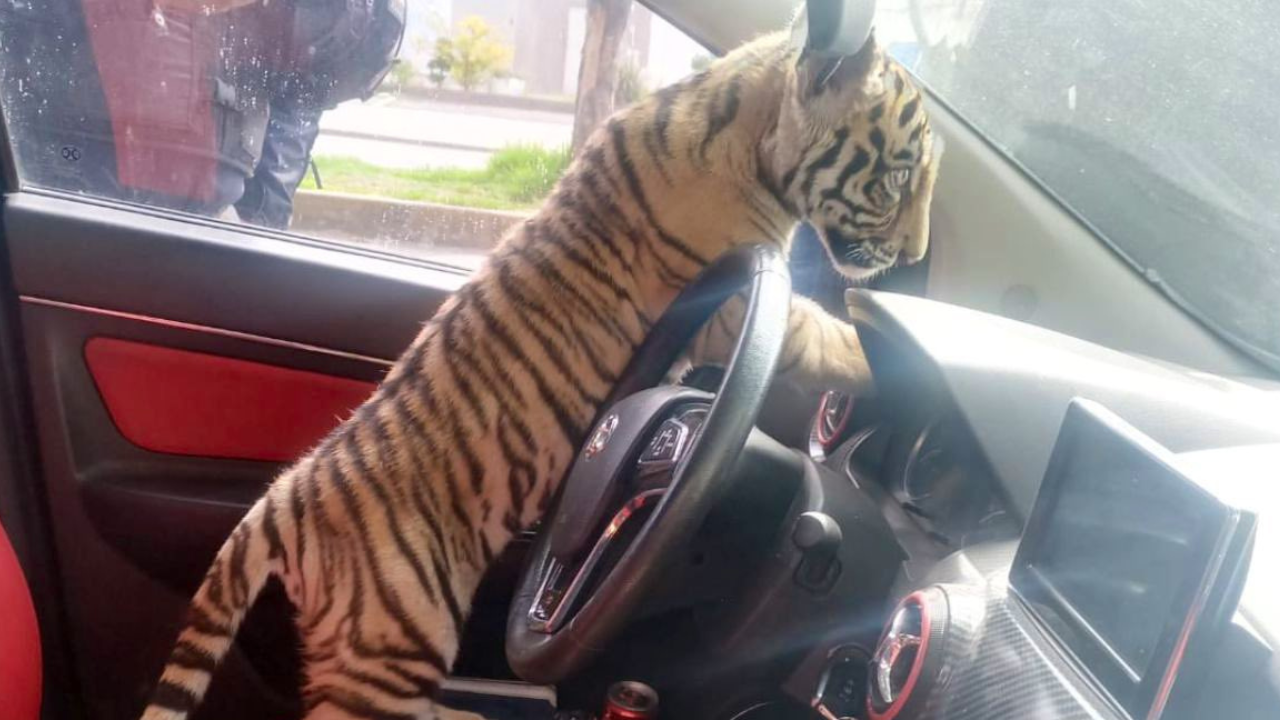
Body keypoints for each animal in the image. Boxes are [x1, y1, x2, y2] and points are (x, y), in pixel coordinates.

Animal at [141, 18, 941, 720]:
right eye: (899, 177)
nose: (914, 255)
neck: (750, 121)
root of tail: (284, 500)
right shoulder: (736, 297)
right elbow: (823, 333)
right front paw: (910, 364)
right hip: (395, 643)